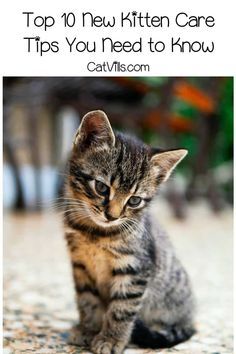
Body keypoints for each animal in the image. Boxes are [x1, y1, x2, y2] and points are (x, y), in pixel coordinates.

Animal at [63, 109, 195, 352]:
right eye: (101, 187)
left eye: (134, 200)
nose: (112, 216)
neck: (96, 233)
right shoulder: (81, 265)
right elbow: (87, 301)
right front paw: (88, 329)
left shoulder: (135, 268)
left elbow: (122, 309)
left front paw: (111, 339)